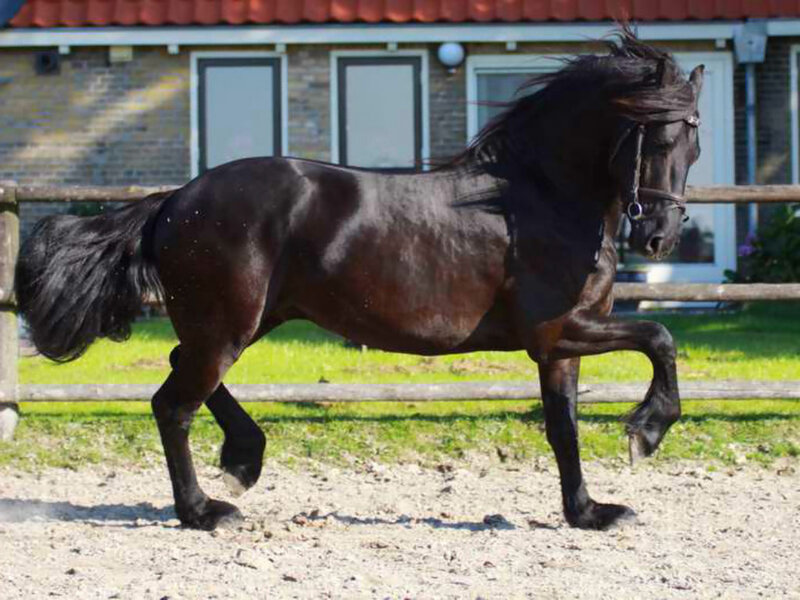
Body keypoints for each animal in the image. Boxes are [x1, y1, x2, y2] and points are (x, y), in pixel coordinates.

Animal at [15, 28, 702, 531]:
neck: (536, 196)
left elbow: (564, 425)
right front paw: (647, 432)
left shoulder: (559, 346)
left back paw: (244, 456)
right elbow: (660, 338)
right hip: (228, 327)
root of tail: (175, 199)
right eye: (657, 137)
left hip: (243, 322)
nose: (660, 238)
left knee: (180, 367)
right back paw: (205, 510)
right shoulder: (558, 330)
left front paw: (589, 512)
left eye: (692, 149)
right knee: (172, 404)